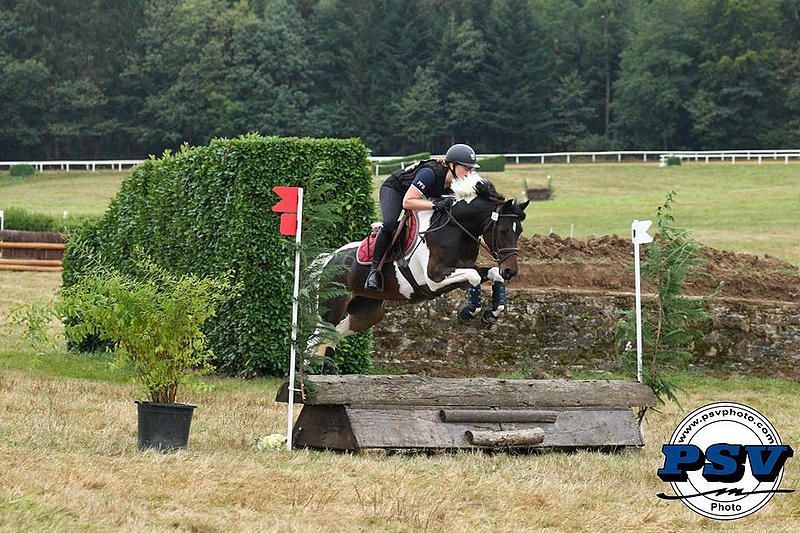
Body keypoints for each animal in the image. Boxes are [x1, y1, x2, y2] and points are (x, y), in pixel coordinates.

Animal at [316, 172, 528, 358]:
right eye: (503, 230)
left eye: (519, 231)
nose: (511, 271)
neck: (455, 229)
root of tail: (328, 260)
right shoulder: (434, 278)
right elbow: (475, 276)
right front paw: (467, 313)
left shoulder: (461, 274)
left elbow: (491, 274)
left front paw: (490, 313)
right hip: (331, 310)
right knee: (316, 338)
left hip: (366, 312)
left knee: (332, 337)